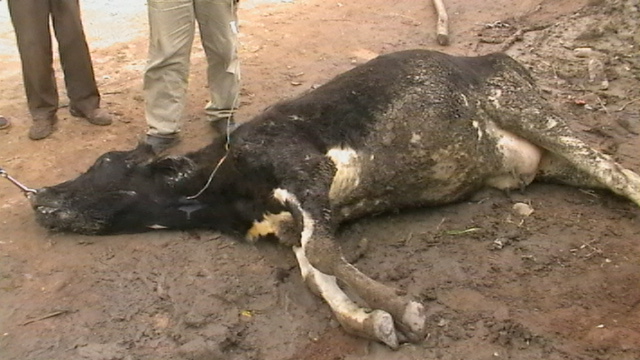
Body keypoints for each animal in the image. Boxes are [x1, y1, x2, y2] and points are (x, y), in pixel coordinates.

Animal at [28, 49, 640, 348]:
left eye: (105, 165)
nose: (39, 197)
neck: (226, 184)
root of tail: (498, 61)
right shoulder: (292, 221)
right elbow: (316, 273)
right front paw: (369, 321)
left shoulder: (305, 169)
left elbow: (324, 256)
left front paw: (403, 309)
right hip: (547, 159)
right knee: (606, 173)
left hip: (523, 106)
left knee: (616, 170)